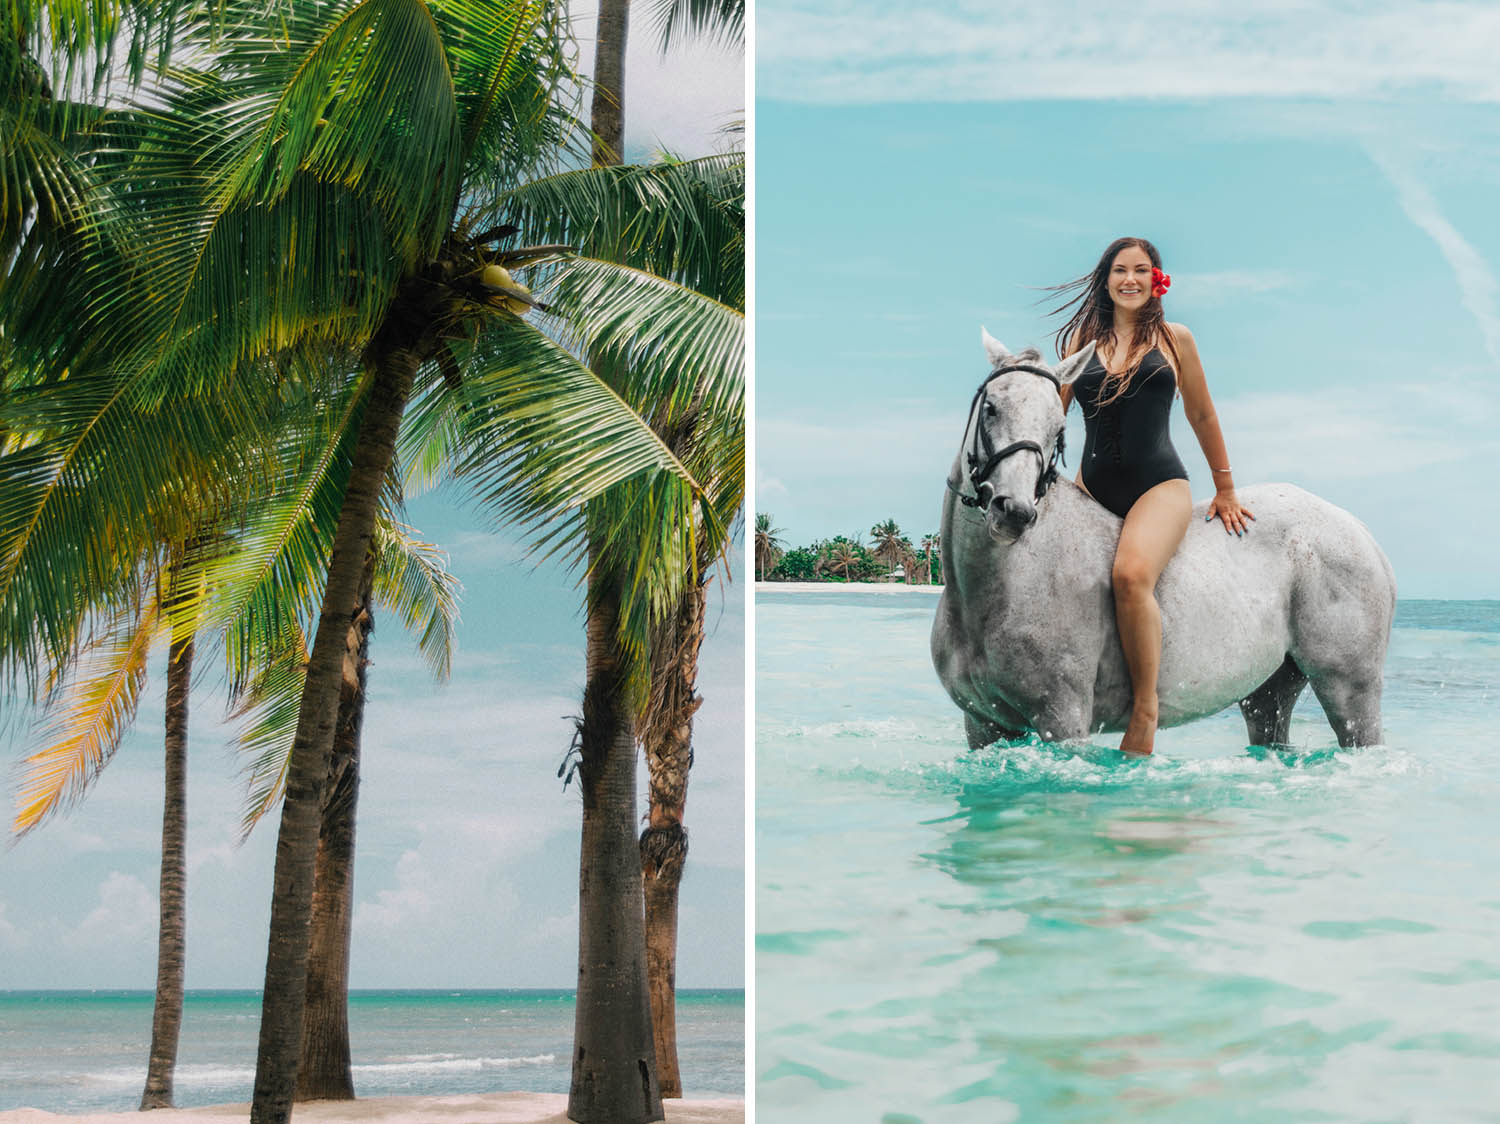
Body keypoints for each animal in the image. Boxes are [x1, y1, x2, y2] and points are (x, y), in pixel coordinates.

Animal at [930, 333, 1398, 753]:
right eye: (991, 408)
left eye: (1057, 428)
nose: (1014, 511)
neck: (998, 590)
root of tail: (1360, 532)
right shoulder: (983, 725)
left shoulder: (1062, 722)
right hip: (1269, 694)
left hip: (1349, 691)